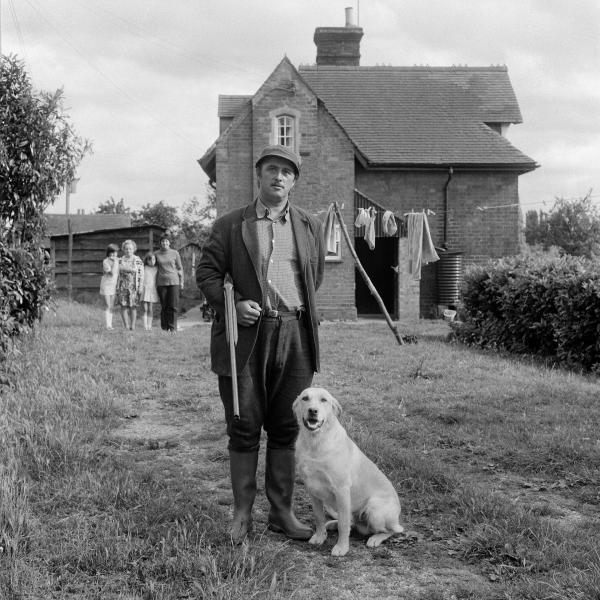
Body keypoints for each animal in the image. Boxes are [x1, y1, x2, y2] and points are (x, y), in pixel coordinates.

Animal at [294, 386, 406, 556]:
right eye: (305, 398)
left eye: (323, 400)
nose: (313, 411)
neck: (315, 443)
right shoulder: (312, 489)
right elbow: (319, 517)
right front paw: (320, 537)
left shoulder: (341, 490)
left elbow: (343, 525)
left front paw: (342, 547)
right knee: (350, 522)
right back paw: (331, 524)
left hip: (374, 509)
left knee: (392, 530)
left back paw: (375, 539)